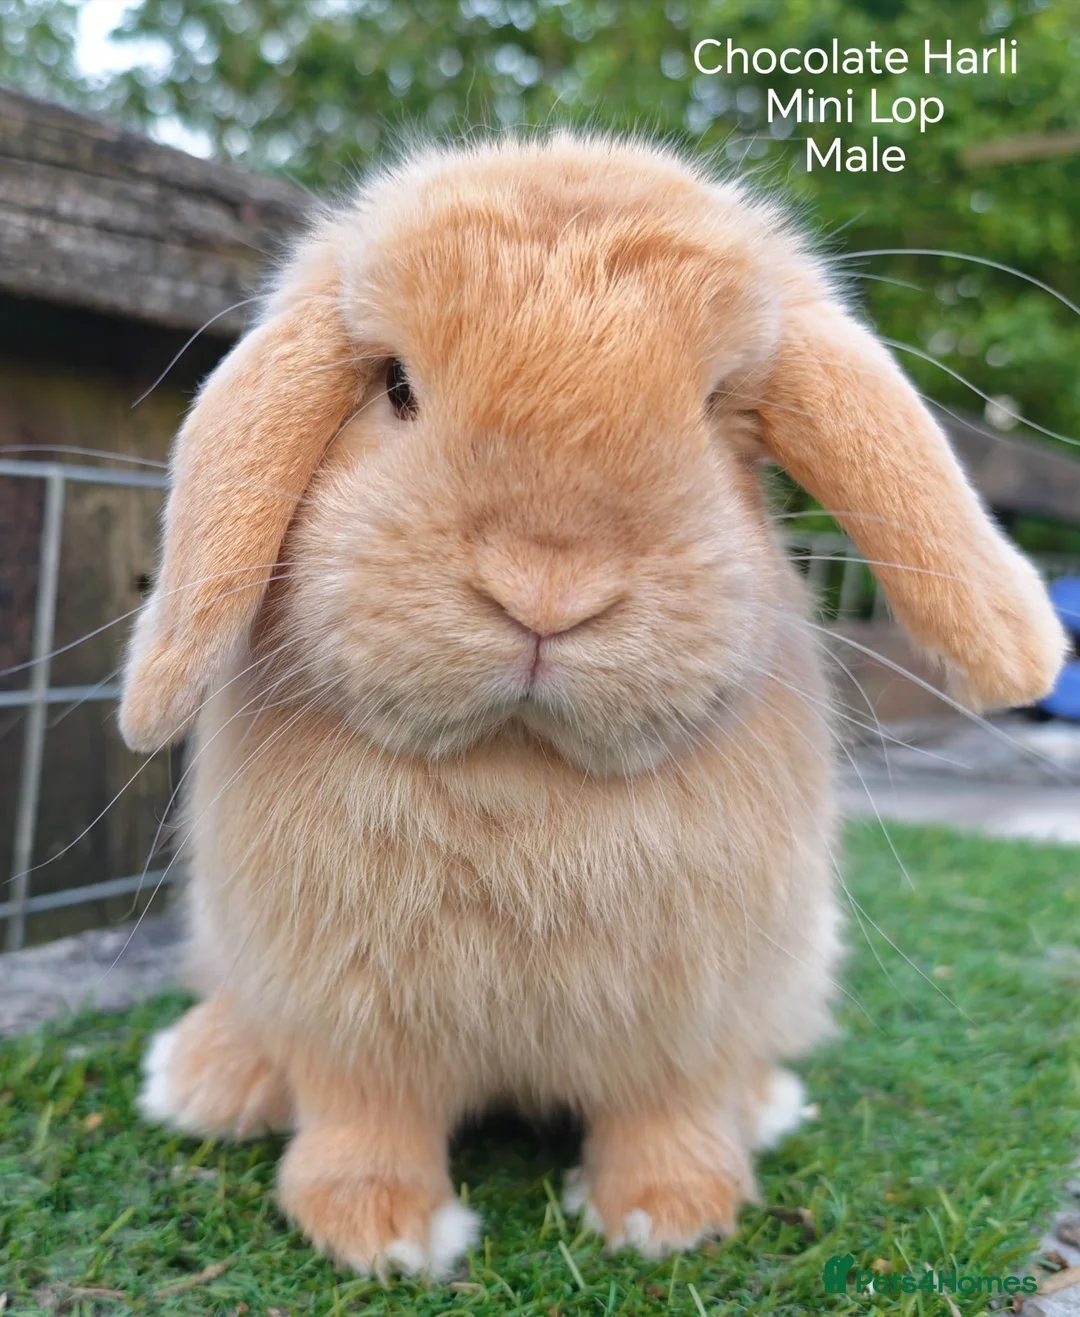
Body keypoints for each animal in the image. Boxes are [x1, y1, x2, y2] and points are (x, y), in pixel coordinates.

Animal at [121, 133, 1066, 1277]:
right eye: (396, 386)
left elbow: (667, 1109)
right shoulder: (346, 1012)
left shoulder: (686, 1016)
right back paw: (205, 1080)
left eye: (716, 405)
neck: (524, 769)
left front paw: (668, 1215)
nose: (545, 588)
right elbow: (364, 1117)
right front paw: (379, 1231)